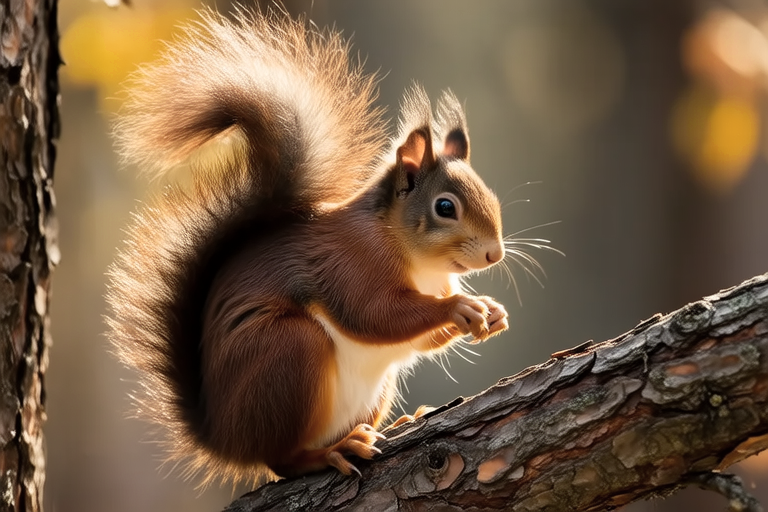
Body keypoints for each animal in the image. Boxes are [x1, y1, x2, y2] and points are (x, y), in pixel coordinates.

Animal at [106, 7, 509, 487]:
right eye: (445, 207)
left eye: (490, 193)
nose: (495, 254)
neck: (417, 260)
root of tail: (222, 438)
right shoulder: (350, 264)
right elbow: (376, 316)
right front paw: (460, 308)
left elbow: (420, 340)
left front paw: (491, 312)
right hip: (289, 351)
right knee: (281, 460)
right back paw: (332, 452)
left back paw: (396, 422)